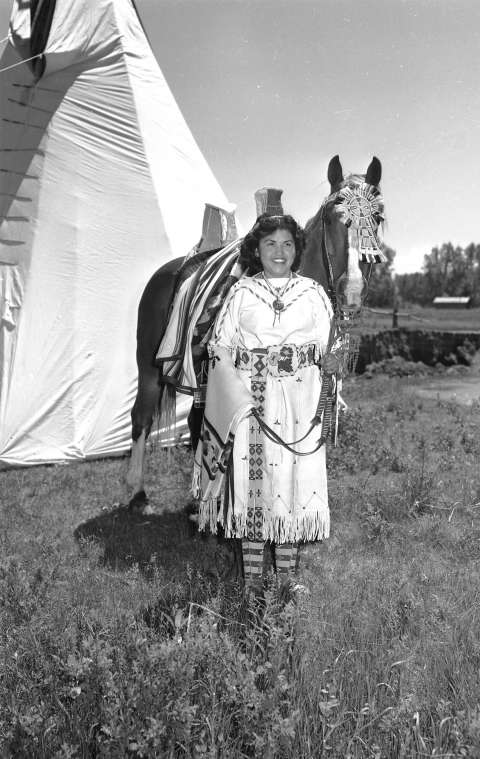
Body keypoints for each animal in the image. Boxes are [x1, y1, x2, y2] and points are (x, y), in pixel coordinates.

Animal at [125, 154, 384, 510]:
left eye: (378, 217)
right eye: (332, 218)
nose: (352, 291)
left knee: (195, 424)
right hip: (149, 367)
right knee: (141, 418)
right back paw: (138, 494)